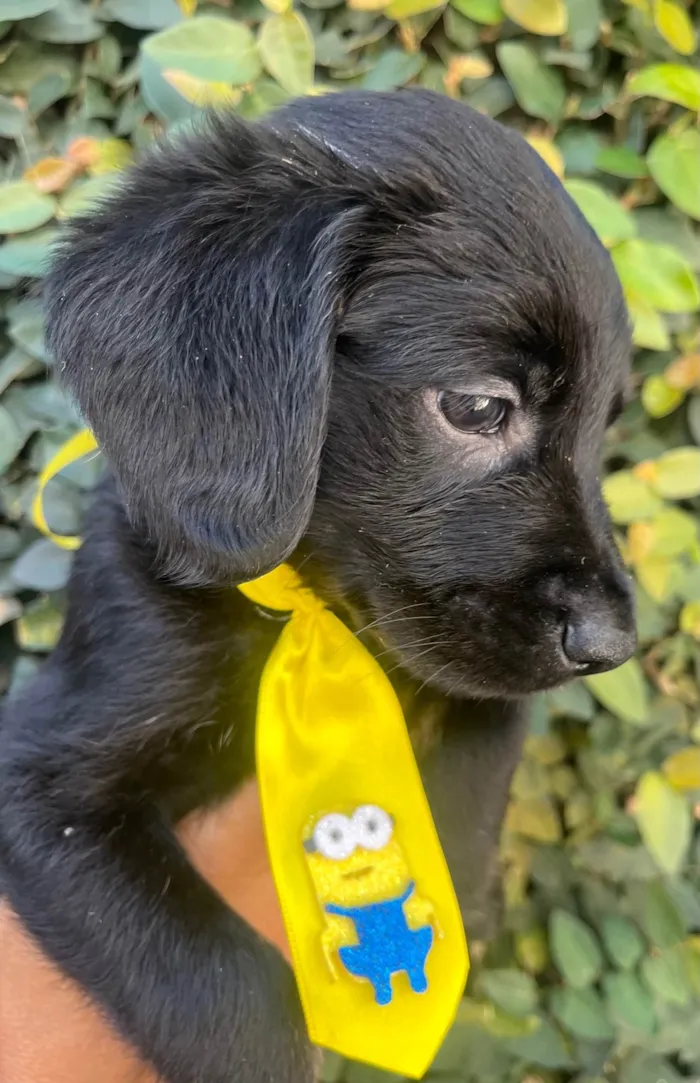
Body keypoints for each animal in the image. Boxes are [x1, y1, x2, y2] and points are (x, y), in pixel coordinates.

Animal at [0, 93, 637, 1083]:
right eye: (478, 407)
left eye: (606, 426)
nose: (612, 645)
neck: (305, 613)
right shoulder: (41, 774)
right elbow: (218, 983)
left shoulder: (477, 679)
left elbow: (482, 756)